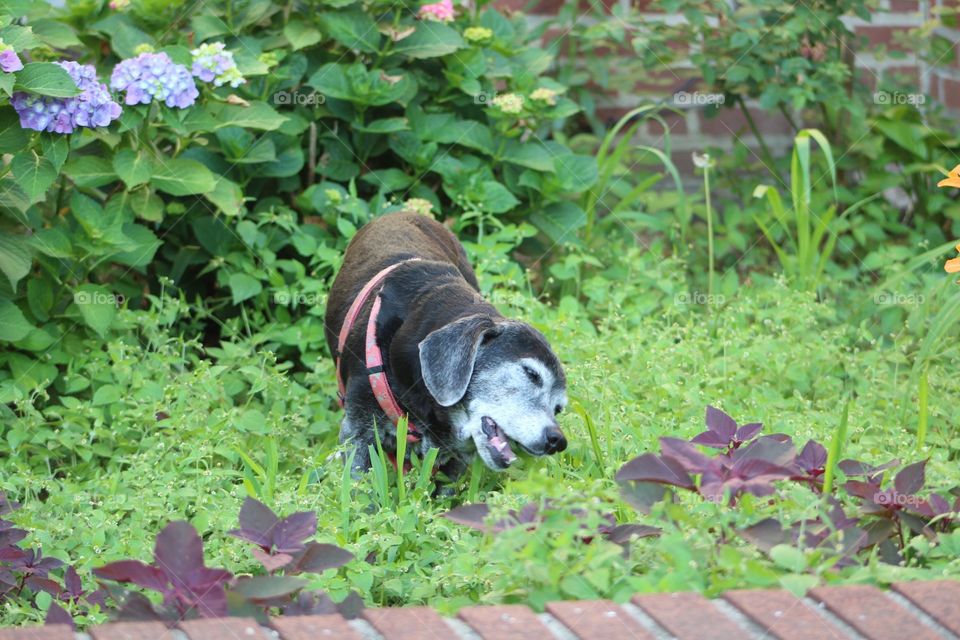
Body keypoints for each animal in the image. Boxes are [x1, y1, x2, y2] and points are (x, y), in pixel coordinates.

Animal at [326, 212, 568, 482]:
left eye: (558, 408)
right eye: (531, 374)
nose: (557, 440)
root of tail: (405, 213)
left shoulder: (455, 456)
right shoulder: (359, 433)